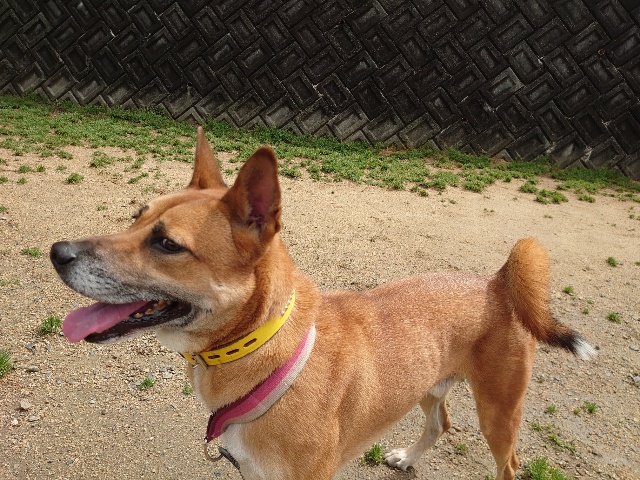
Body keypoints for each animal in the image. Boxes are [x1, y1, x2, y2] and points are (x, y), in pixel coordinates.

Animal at [51, 127, 594, 480]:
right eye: (137, 216)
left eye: (167, 244)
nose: (58, 252)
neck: (263, 352)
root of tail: (498, 282)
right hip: (428, 383)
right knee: (440, 423)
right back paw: (407, 458)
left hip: (500, 412)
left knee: (509, 464)